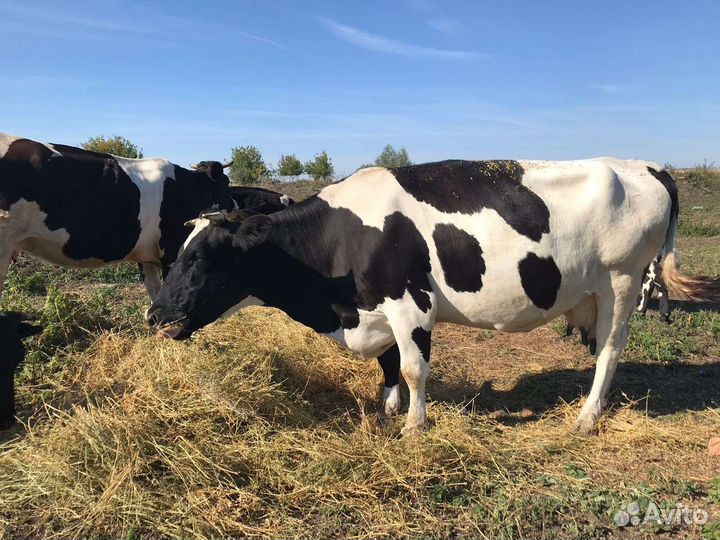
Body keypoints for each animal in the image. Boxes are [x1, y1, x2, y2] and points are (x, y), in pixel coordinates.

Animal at [0, 133, 236, 299]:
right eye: (226, 184)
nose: (235, 206)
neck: (190, 186)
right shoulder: (172, 250)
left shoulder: (148, 256)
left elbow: (154, 291)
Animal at [146, 158, 720, 435]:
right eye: (177, 253)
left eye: (201, 260)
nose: (155, 313)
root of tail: (645, 165)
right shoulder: (376, 308)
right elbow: (389, 365)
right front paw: (387, 408)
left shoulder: (410, 302)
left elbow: (414, 366)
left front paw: (415, 425)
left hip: (623, 281)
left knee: (610, 351)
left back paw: (587, 416)